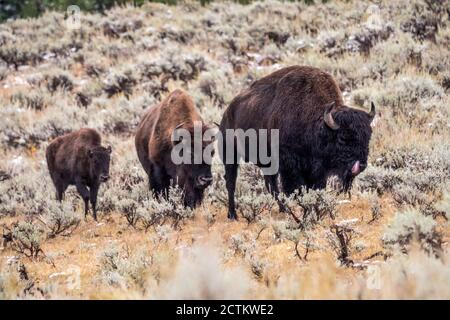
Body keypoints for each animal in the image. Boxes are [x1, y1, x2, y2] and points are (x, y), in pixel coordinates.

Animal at [220, 65, 374, 220]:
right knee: (231, 183)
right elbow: (294, 189)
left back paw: (282, 209)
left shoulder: (317, 172)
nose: (361, 165)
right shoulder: (290, 166)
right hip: (230, 155)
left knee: (270, 185)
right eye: (342, 138)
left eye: (368, 137)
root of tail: (227, 112)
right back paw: (232, 214)